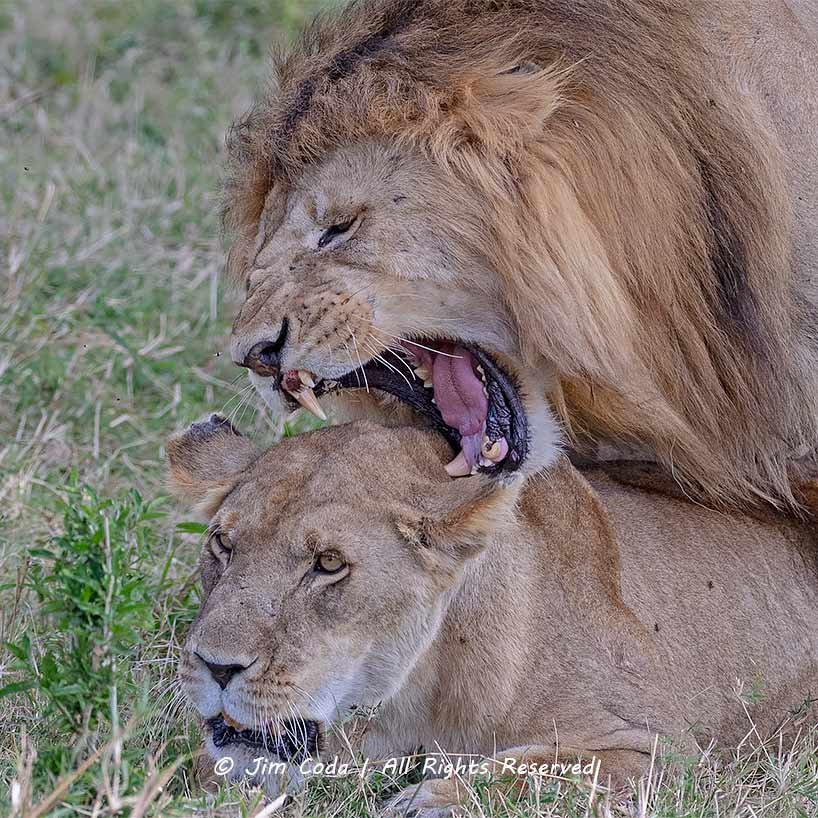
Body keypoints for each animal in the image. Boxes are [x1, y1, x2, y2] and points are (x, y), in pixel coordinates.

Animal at [168, 414, 818, 812]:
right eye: (222, 545)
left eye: (328, 563)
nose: (215, 667)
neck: (422, 692)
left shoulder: (665, 754)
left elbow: (542, 773)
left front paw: (427, 801)